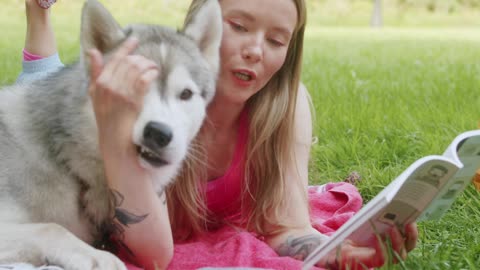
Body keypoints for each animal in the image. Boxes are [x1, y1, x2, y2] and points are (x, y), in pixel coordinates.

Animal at [0, 0, 222, 268]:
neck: (64, 156)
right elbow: (51, 228)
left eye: (186, 94)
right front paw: (96, 256)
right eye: (128, 89)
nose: (158, 133)